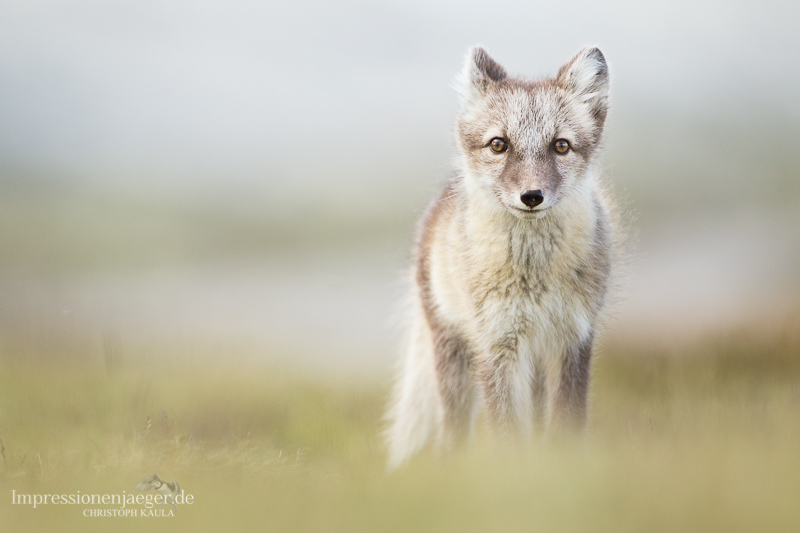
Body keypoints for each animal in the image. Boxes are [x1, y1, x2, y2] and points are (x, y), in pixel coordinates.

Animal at [384, 46, 616, 470]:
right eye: (498, 145)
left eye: (561, 146)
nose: (532, 196)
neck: (533, 275)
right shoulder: (497, 345)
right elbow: (507, 431)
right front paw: (511, 476)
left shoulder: (572, 338)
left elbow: (565, 424)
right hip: (456, 355)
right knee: (453, 431)